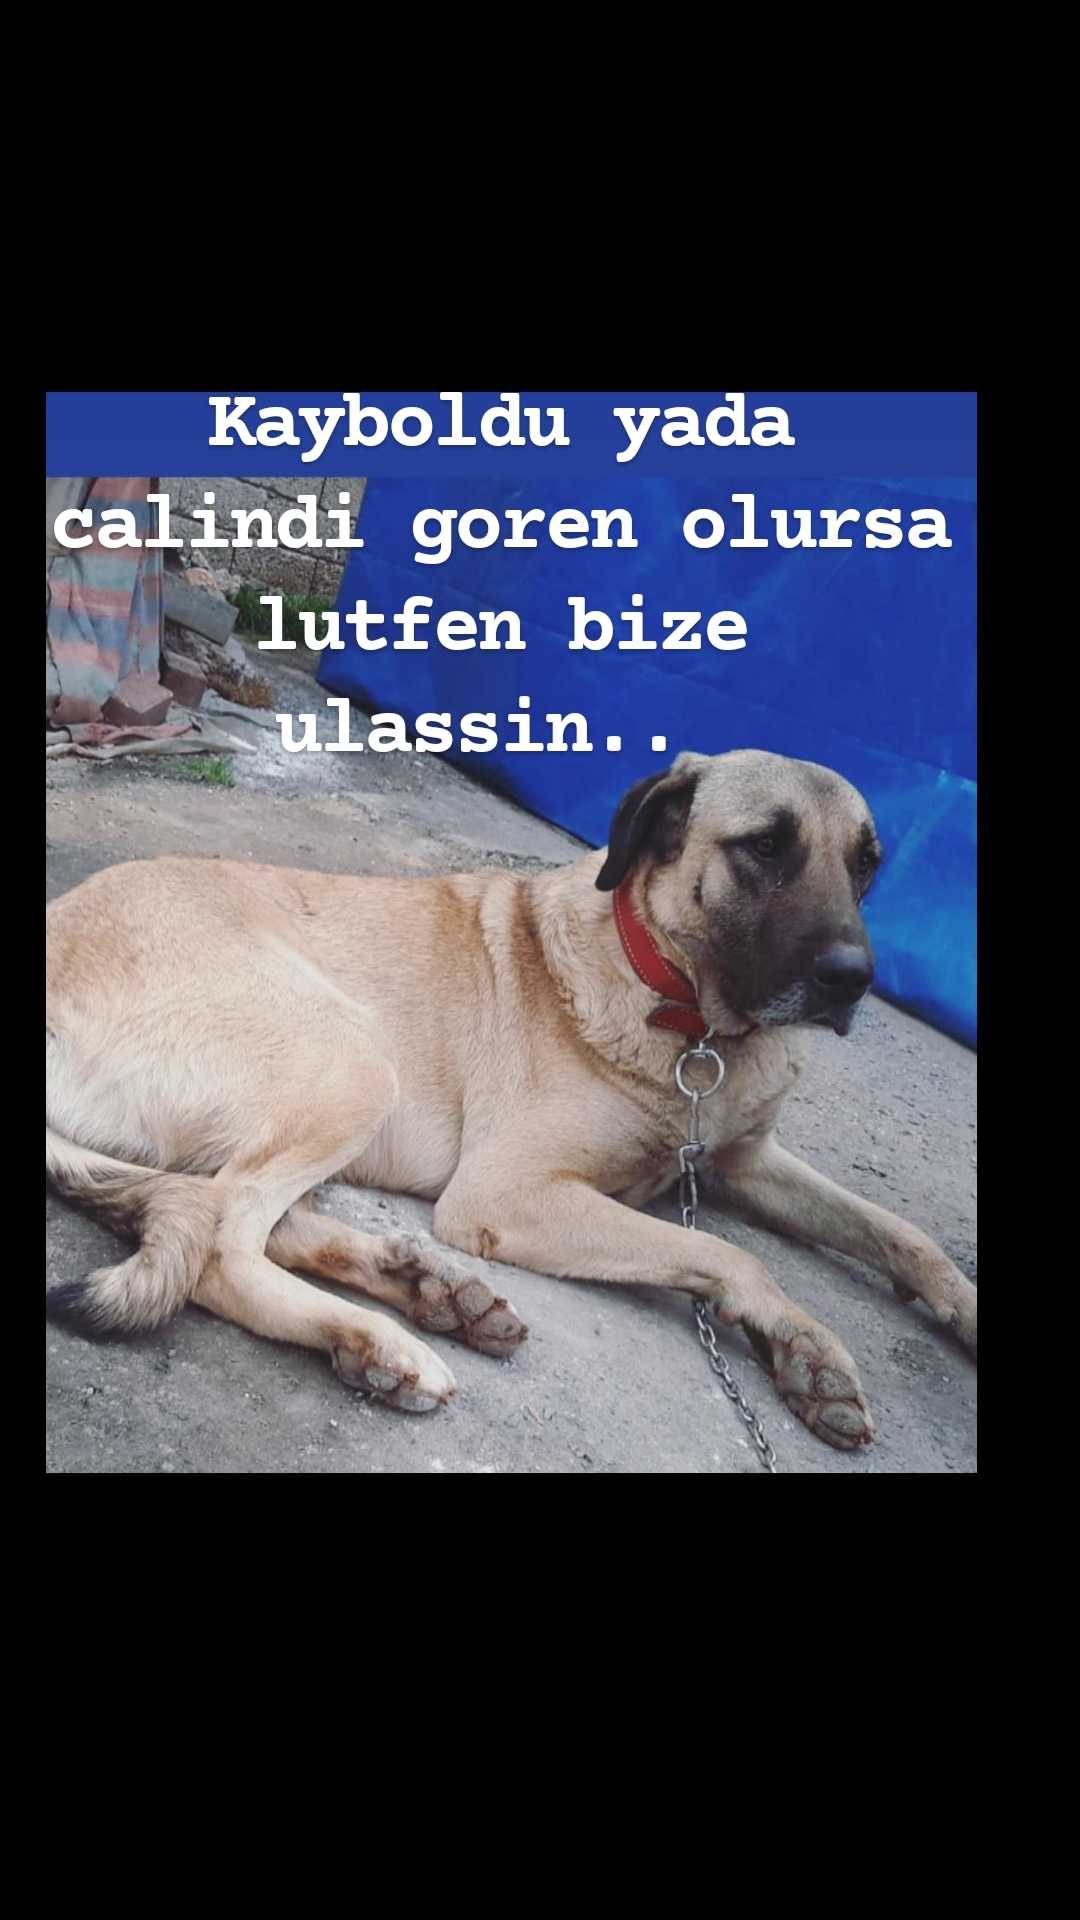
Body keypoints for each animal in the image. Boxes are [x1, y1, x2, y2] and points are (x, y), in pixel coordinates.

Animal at [45, 748, 976, 1451]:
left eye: (867, 864)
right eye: (765, 847)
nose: (852, 981)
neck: (678, 1003)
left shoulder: (746, 1159)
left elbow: (902, 1233)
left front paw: (951, 1309)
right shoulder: (509, 1195)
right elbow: (728, 1255)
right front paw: (795, 1336)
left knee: (218, 1207)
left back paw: (424, 1287)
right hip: (352, 1057)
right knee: (219, 1242)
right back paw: (377, 1339)